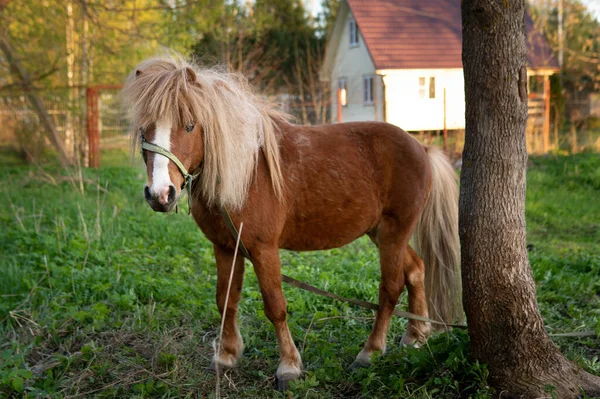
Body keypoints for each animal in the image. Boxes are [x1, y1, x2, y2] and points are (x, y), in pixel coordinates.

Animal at [120, 54, 460, 390]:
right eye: (144, 129)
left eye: (190, 125)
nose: (160, 194)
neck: (245, 174)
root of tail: (422, 148)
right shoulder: (225, 247)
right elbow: (225, 299)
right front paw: (227, 356)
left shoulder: (263, 250)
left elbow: (275, 306)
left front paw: (289, 367)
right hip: (381, 232)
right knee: (415, 270)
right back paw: (416, 336)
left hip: (394, 232)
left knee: (390, 288)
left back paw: (370, 352)